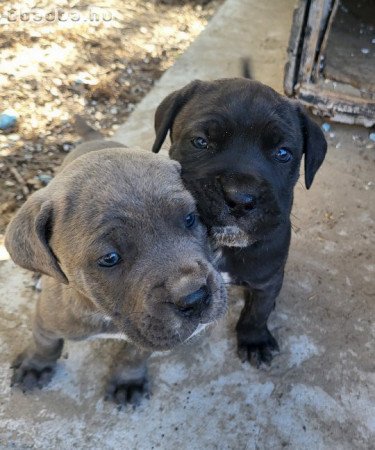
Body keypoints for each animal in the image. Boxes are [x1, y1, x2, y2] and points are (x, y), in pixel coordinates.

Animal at [5, 125, 226, 404]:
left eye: (189, 218)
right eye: (109, 258)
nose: (195, 298)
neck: (104, 313)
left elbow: (133, 355)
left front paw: (127, 380)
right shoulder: (46, 317)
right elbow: (45, 343)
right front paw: (35, 365)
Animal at [151, 76, 328, 366]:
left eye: (283, 153)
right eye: (200, 142)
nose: (240, 197)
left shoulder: (267, 279)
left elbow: (257, 312)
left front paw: (253, 340)